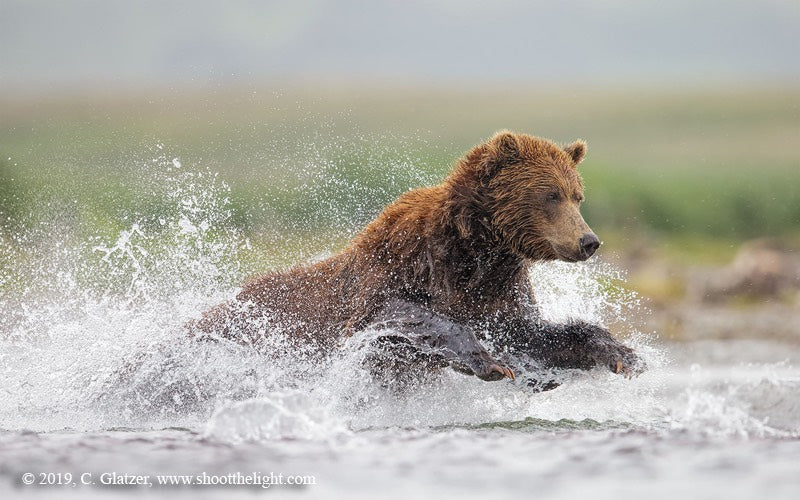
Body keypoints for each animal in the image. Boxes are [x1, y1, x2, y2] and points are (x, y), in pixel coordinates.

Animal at [192, 132, 644, 390]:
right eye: (551, 194)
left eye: (577, 195)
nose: (589, 241)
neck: (477, 251)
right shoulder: (399, 264)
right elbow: (398, 313)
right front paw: (492, 363)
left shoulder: (498, 291)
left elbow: (532, 333)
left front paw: (624, 354)